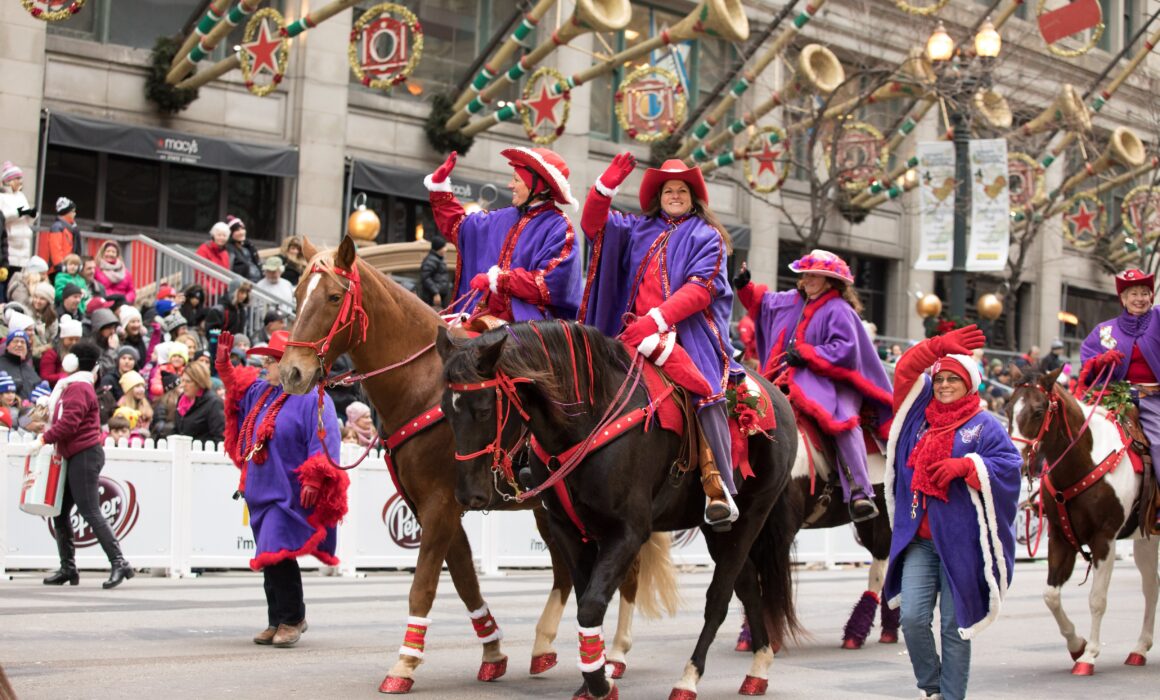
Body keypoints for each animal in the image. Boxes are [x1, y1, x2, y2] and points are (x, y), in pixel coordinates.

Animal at [438, 322, 802, 700]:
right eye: (446, 410)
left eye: (483, 410)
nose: (468, 494)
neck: (585, 425)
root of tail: (774, 394)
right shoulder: (568, 530)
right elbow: (585, 601)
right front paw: (593, 677)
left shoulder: (627, 533)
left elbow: (591, 606)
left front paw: (600, 682)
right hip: (719, 531)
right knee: (747, 585)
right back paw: (758, 667)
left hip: (752, 515)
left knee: (719, 596)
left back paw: (689, 678)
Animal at [1006, 366, 1160, 673]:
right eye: (1007, 408)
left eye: (1039, 411)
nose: (1015, 460)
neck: (1084, 461)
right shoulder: (1060, 536)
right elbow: (1051, 596)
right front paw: (1076, 645)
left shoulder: (1104, 540)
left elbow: (1097, 599)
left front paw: (1089, 656)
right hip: (1146, 540)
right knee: (1151, 585)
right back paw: (1139, 648)